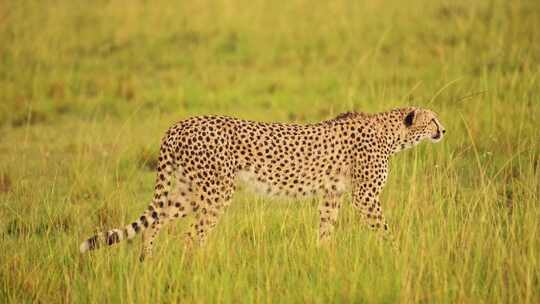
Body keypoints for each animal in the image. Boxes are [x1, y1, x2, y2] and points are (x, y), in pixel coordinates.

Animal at [79, 107, 442, 258]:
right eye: (433, 120)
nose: (445, 130)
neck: (391, 133)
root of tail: (179, 124)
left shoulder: (332, 194)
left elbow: (325, 230)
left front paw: (324, 261)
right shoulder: (364, 196)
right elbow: (384, 229)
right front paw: (397, 253)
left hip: (189, 190)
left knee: (158, 221)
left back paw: (148, 263)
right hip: (216, 192)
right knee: (192, 235)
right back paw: (200, 268)